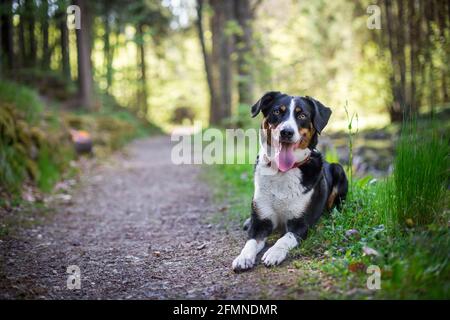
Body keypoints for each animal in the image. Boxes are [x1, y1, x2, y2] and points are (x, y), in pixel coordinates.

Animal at [232, 91, 348, 272]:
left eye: (302, 115)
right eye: (277, 112)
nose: (286, 132)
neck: (282, 172)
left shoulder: (300, 224)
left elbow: (284, 239)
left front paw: (274, 253)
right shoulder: (260, 222)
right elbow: (250, 242)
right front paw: (243, 257)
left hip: (339, 169)